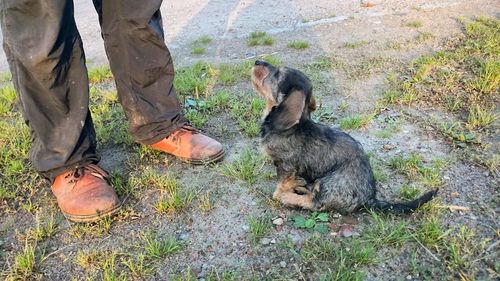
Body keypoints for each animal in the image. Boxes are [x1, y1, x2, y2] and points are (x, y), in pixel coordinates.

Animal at [250, 59, 438, 212]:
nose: (257, 61)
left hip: (330, 183)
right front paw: (294, 184)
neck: (291, 127)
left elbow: (281, 184)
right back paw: (303, 186)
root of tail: (370, 198)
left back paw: (290, 197)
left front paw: (280, 193)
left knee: (314, 203)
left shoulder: (285, 166)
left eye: (278, 74)